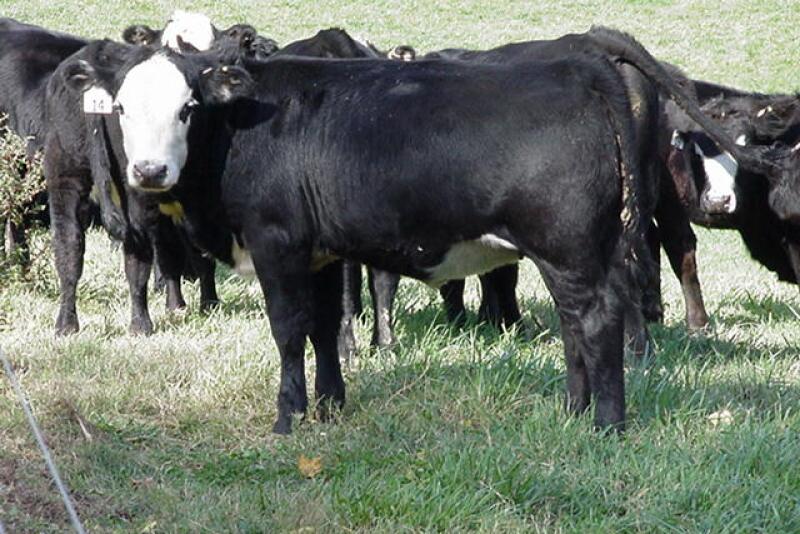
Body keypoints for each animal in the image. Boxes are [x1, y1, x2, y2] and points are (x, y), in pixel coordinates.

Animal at [63, 27, 774, 435]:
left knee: (597, 321)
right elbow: (326, 327)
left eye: (188, 106)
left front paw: (290, 417)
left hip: (567, 246)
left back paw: (605, 425)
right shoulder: (322, 254)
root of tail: (582, 63)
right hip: (577, 251)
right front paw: (332, 405)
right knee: (578, 323)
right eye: (121, 107)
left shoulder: (277, 244)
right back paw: (574, 413)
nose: (148, 171)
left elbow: (290, 332)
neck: (244, 126)